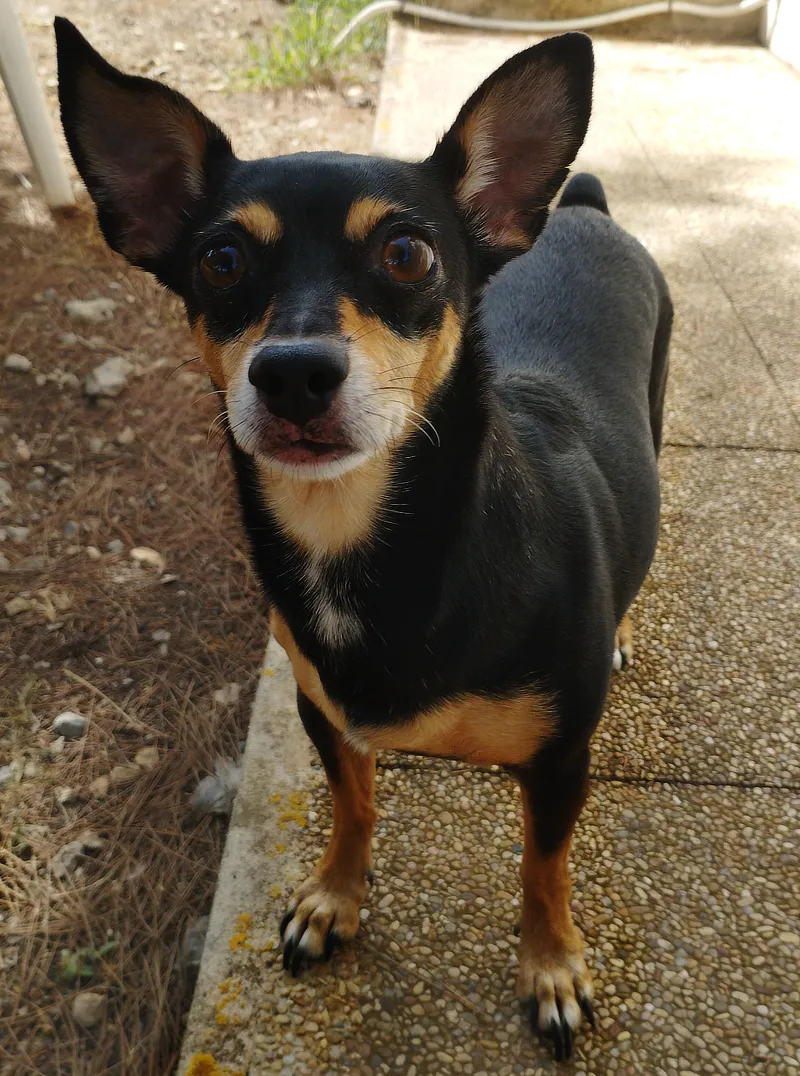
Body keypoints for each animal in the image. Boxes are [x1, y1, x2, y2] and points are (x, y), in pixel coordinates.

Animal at [53, 20, 671, 1063]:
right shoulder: (322, 712)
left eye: (408, 252)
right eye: (221, 260)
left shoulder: (560, 765)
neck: (364, 542)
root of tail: (579, 205)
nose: (293, 372)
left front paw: (551, 966)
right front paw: (334, 899)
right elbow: (354, 804)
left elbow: (543, 866)